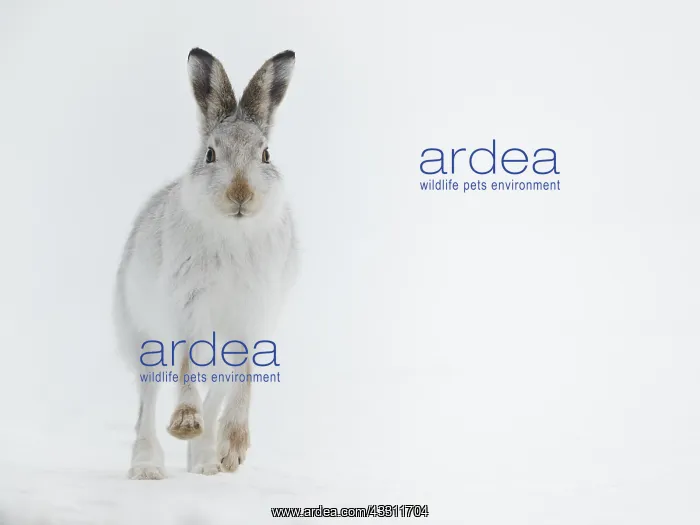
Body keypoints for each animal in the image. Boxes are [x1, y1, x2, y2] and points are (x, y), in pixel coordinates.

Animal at [113, 48, 298, 480]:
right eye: (211, 154)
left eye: (266, 154)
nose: (240, 194)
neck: (234, 231)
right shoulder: (188, 303)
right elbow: (185, 366)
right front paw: (184, 423)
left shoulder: (251, 317)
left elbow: (245, 378)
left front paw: (234, 449)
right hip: (142, 337)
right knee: (148, 401)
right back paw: (147, 467)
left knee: (216, 393)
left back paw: (207, 462)